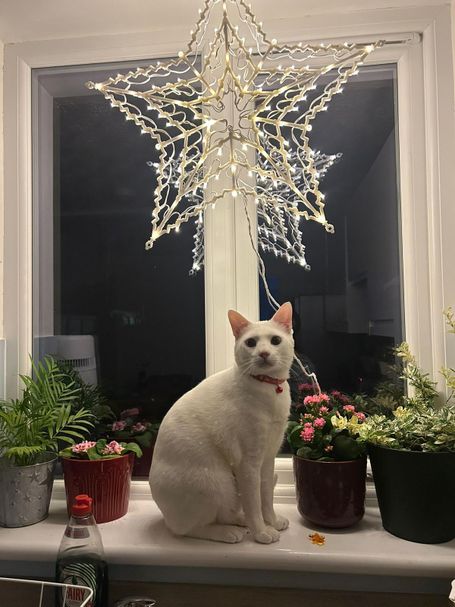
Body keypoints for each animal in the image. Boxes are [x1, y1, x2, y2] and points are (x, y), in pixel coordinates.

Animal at [148, 304, 294, 548]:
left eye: (275, 340)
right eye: (251, 343)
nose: (263, 353)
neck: (269, 390)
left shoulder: (268, 458)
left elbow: (266, 498)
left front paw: (272, 522)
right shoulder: (249, 462)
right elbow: (255, 503)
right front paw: (262, 532)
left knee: (225, 514)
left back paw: (241, 522)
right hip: (219, 481)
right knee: (188, 529)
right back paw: (229, 533)